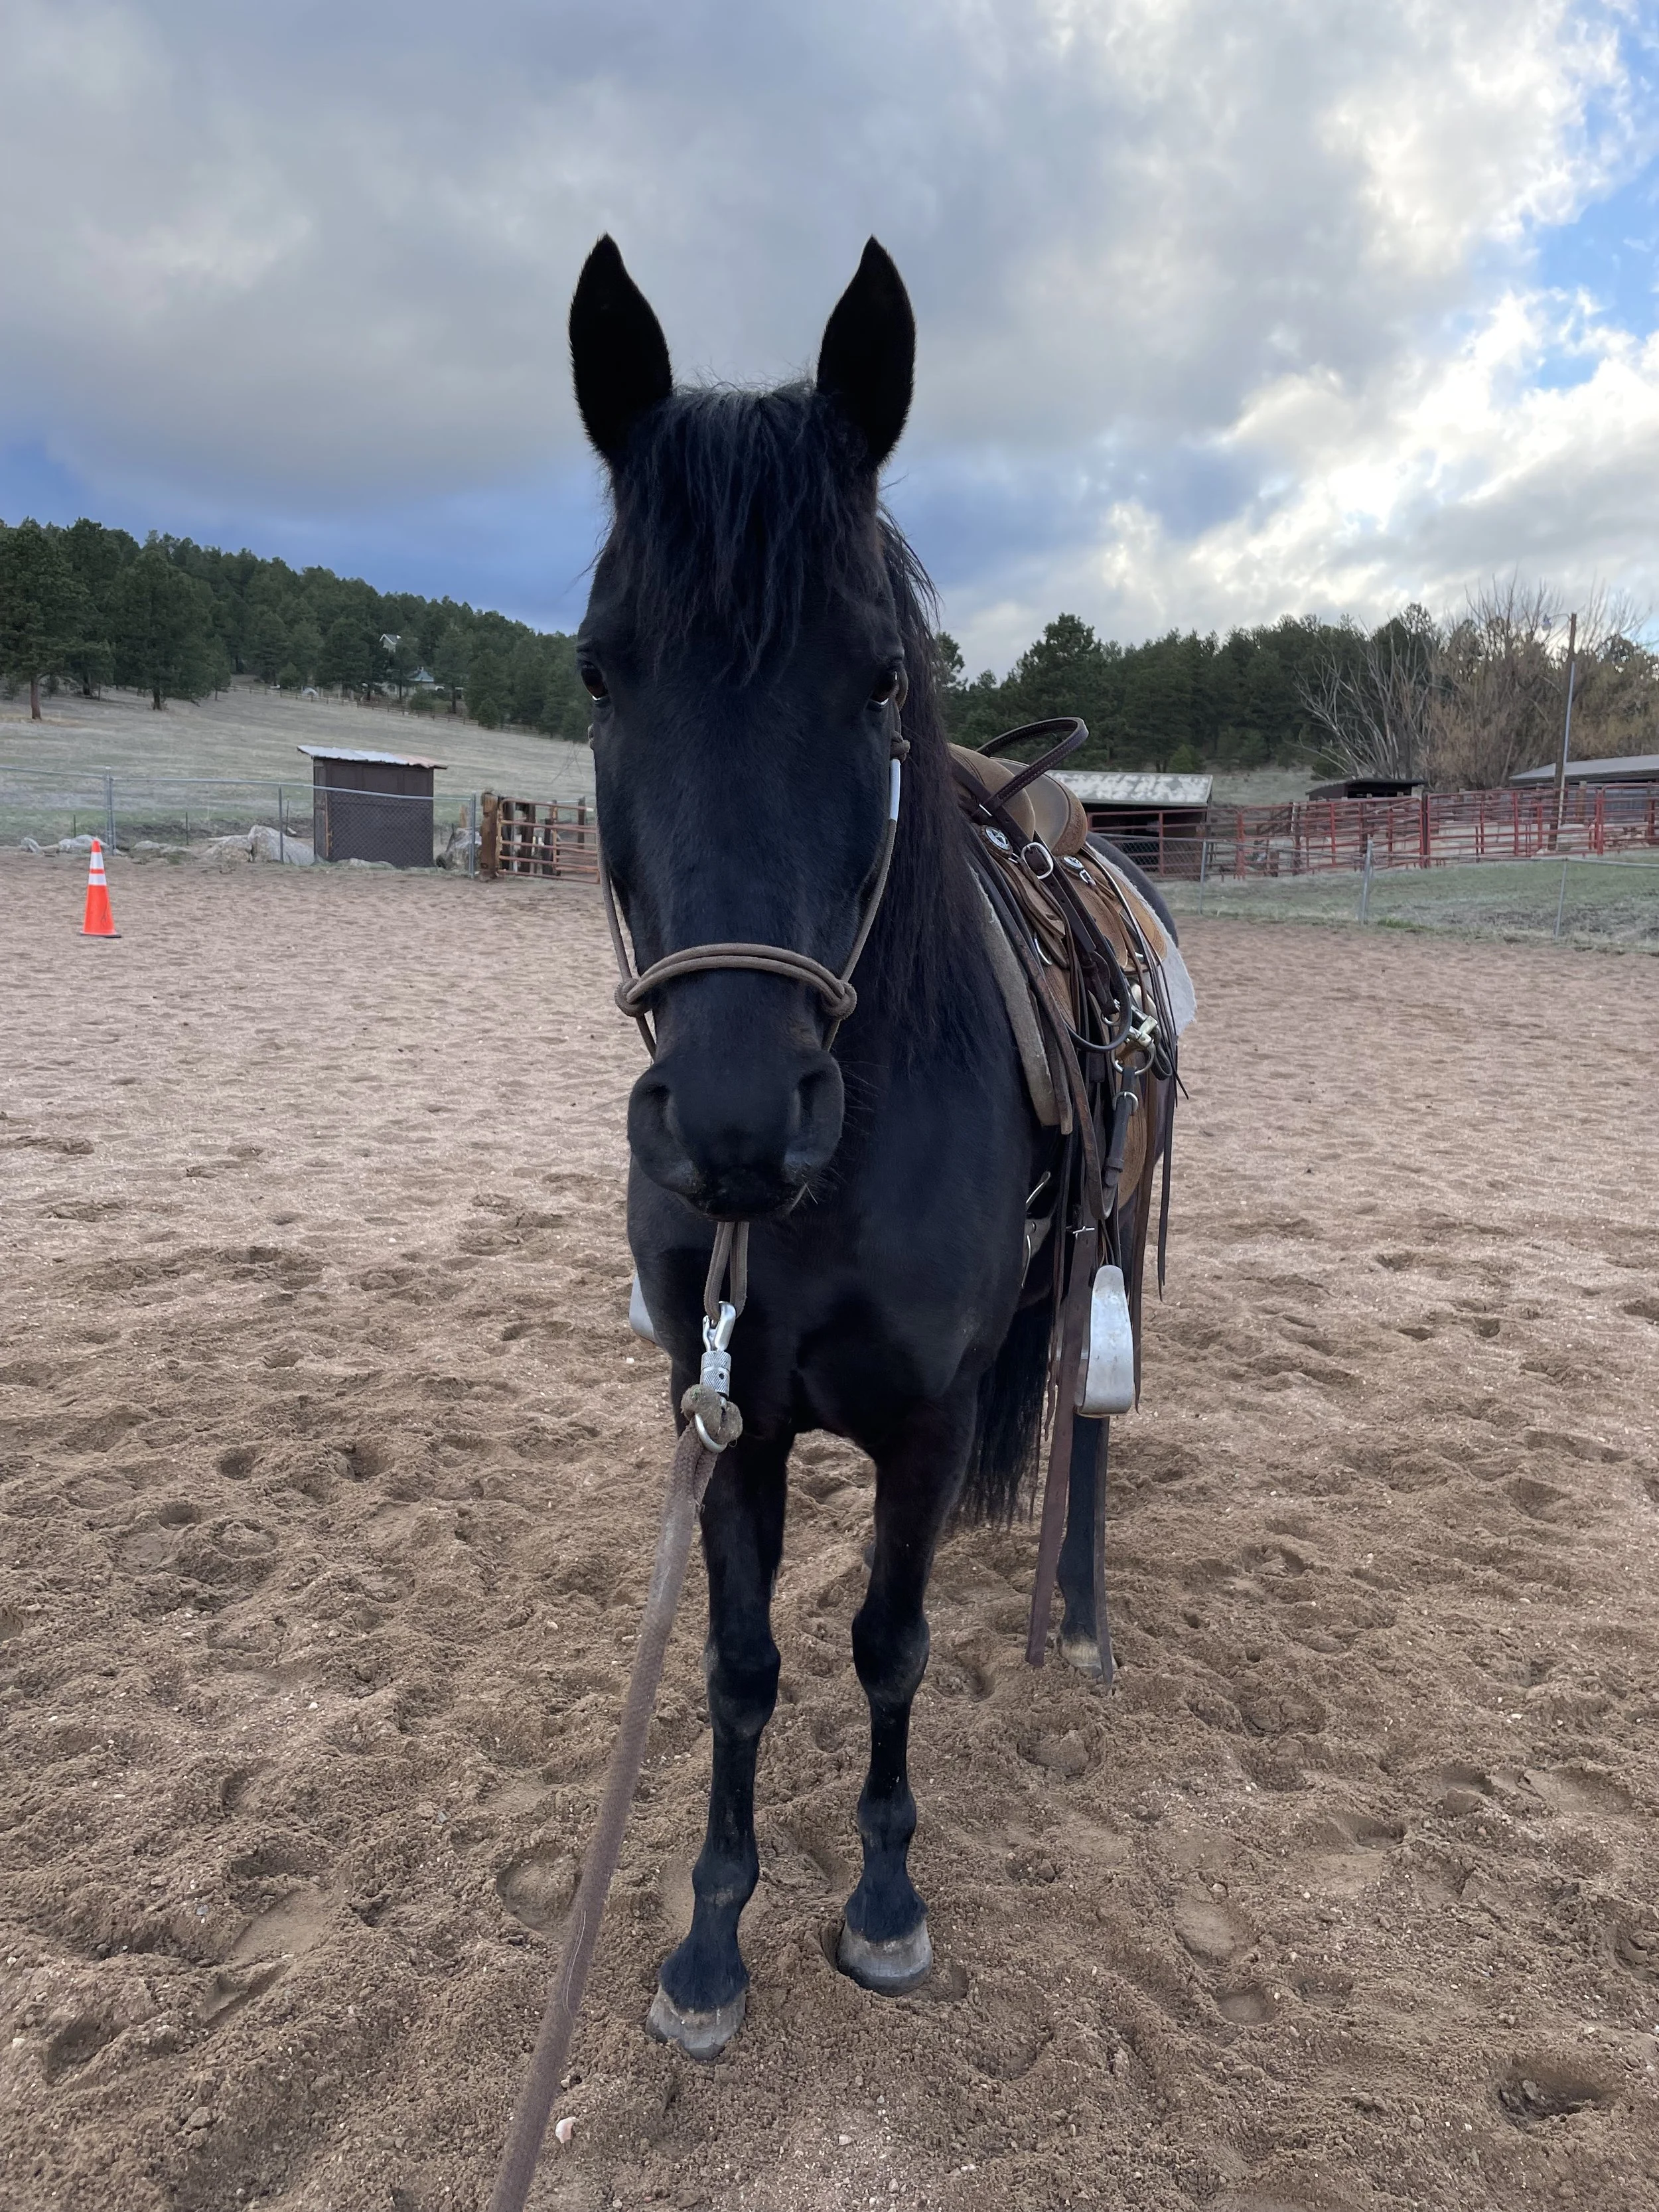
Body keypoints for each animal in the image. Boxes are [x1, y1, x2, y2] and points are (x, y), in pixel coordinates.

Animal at [569, 234, 1178, 2058]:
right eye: (600, 669)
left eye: (877, 678)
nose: (733, 1120)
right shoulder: (721, 1412)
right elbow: (741, 1662)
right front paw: (709, 1939)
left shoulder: (917, 1416)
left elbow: (887, 1644)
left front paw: (886, 1902)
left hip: (1118, 1247)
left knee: (1088, 1437)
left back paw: (1080, 1617)